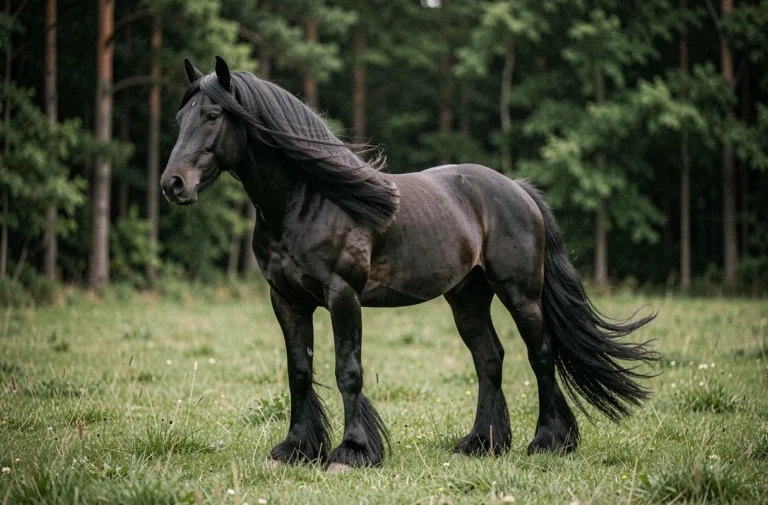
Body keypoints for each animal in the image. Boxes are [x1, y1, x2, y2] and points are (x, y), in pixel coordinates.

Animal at [161, 56, 658, 473]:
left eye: (213, 116)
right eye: (181, 118)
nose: (173, 184)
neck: (306, 201)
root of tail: (516, 189)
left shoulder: (342, 295)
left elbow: (348, 371)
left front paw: (352, 452)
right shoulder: (285, 298)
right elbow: (299, 371)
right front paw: (297, 449)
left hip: (521, 295)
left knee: (541, 354)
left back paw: (549, 441)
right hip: (467, 297)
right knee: (489, 359)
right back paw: (482, 442)